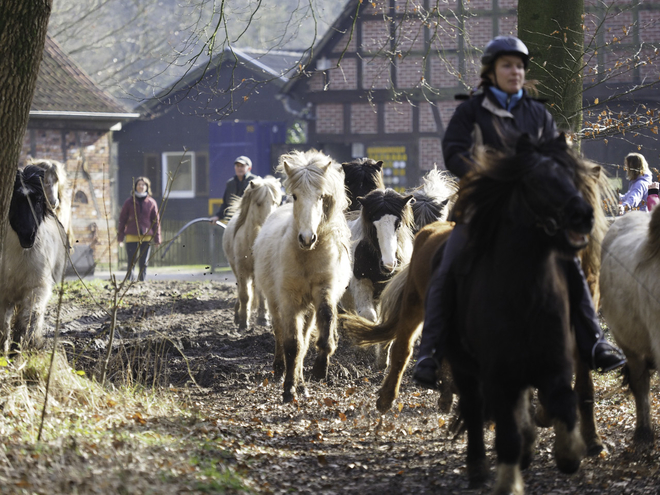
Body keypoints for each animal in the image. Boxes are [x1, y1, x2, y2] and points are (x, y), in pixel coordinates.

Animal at [0, 165, 68, 350]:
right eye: (15, 201)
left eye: (37, 201)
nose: (27, 236)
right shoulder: (4, 293)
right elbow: (4, 325)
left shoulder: (36, 288)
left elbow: (27, 321)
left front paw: (21, 348)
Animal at [223, 176, 282, 332]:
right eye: (258, 203)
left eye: (275, 202)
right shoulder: (241, 270)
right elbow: (245, 295)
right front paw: (243, 322)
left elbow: (262, 294)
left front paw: (263, 318)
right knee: (242, 289)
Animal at [255, 150, 354, 404]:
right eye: (295, 196)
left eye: (321, 197)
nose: (307, 238)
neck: (306, 257)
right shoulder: (289, 300)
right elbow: (292, 345)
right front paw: (288, 389)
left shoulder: (323, 290)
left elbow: (324, 325)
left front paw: (319, 368)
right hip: (275, 302)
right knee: (281, 333)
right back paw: (281, 368)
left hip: (307, 307)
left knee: (306, 337)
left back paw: (301, 383)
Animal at [446, 134, 592, 494]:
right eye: (537, 181)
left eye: (571, 175)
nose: (583, 215)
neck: (526, 295)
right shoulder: (498, 375)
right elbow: (506, 435)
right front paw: (508, 482)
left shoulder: (556, 365)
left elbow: (564, 404)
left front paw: (569, 454)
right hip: (463, 365)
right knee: (473, 408)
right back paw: (477, 467)